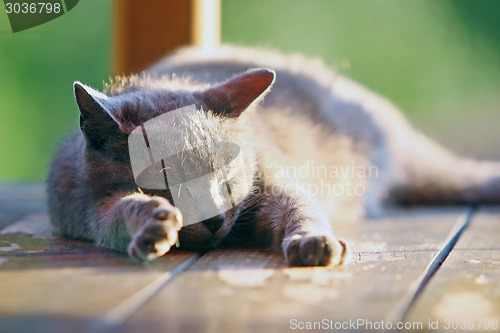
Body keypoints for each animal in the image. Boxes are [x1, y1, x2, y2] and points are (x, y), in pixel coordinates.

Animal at [47, 45, 500, 266]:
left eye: (226, 178)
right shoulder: (86, 210)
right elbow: (118, 211)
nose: (215, 218)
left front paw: (313, 241)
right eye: (166, 185)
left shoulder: (274, 184)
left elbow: (300, 206)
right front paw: (152, 223)